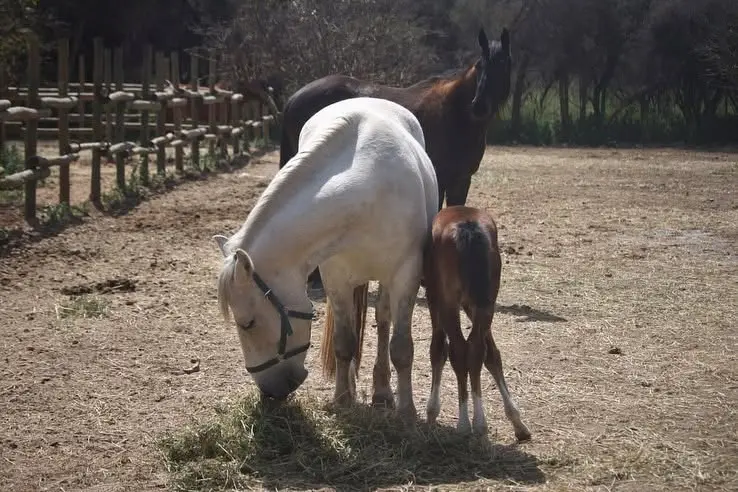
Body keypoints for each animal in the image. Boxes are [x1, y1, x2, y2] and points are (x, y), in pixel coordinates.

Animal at [213, 97, 438, 416]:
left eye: (248, 324)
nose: (269, 392)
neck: (367, 193)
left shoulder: (406, 276)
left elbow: (401, 347)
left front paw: (406, 412)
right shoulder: (336, 279)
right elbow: (344, 342)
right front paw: (342, 399)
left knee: (383, 322)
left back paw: (382, 391)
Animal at [423, 205, 531, 440]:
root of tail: (468, 226)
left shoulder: (434, 298)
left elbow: (437, 351)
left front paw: (431, 412)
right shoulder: (473, 304)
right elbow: (492, 355)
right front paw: (516, 420)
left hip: (449, 303)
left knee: (458, 349)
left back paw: (464, 424)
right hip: (485, 303)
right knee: (477, 349)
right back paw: (481, 424)